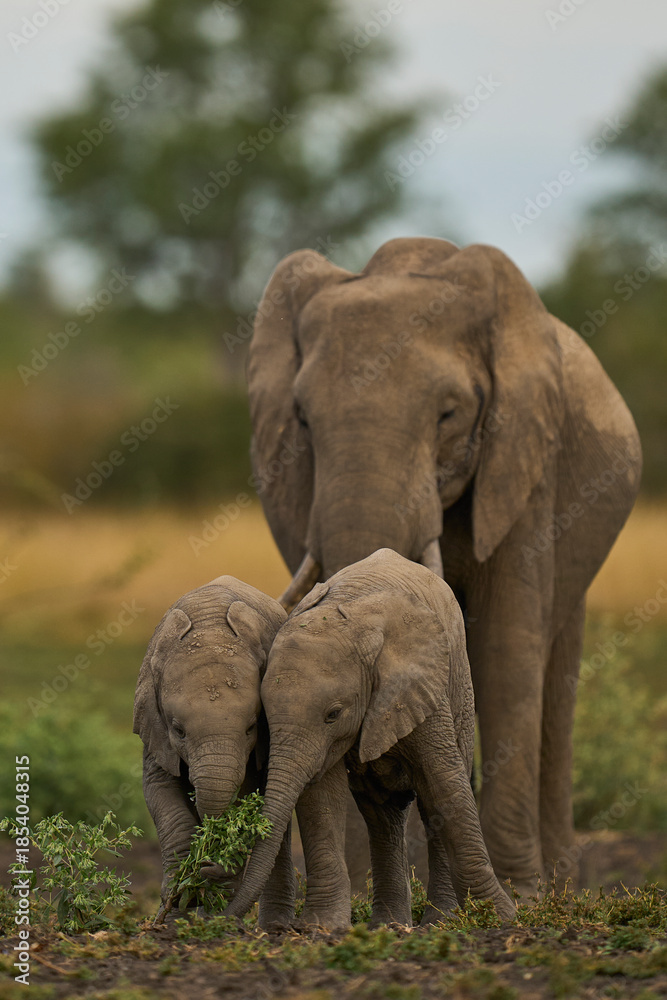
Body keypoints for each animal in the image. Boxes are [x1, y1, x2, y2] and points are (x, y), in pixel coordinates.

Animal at [133, 575, 294, 923]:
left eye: (251, 727)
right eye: (178, 730)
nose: (206, 864)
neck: (209, 630)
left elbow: (255, 791)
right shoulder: (154, 727)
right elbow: (159, 791)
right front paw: (180, 893)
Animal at [226, 548, 516, 929]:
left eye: (333, 714)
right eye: (264, 719)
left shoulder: (420, 686)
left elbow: (446, 786)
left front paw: (502, 917)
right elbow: (322, 796)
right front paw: (321, 928)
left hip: (459, 688)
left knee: (432, 800)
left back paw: (439, 921)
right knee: (382, 814)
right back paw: (389, 924)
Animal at [247, 236, 642, 895]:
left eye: (449, 414)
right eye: (302, 419)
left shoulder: (524, 463)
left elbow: (506, 647)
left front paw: (520, 895)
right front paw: (367, 895)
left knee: (552, 670)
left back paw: (559, 887)